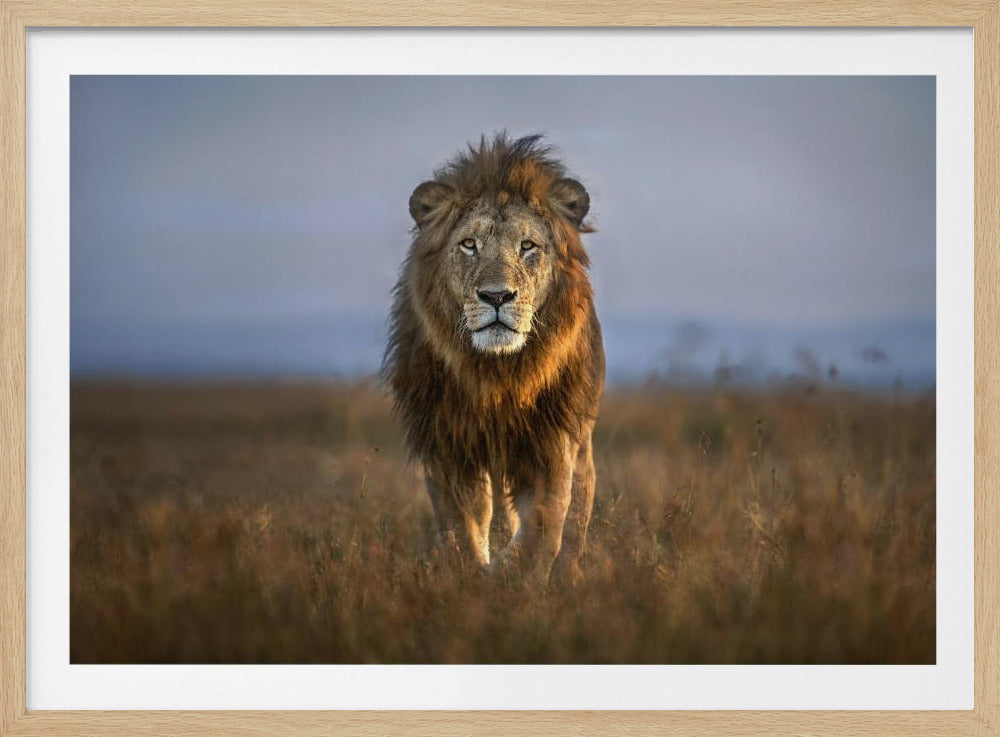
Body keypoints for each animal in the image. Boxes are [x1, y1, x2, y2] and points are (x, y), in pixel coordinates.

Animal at [383, 133, 605, 584]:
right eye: (469, 244)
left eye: (528, 246)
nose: (497, 296)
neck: (497, 373)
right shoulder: (447, 444)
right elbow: (462, 525)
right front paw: (472, 574)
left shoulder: (552, 441)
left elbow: (544, 525)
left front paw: (513, 576)